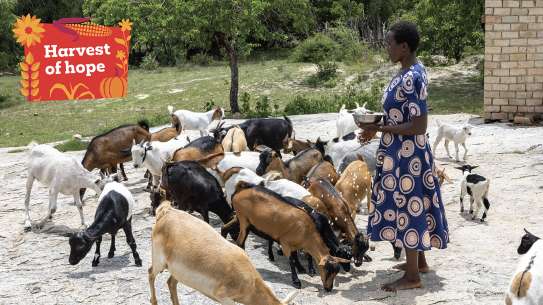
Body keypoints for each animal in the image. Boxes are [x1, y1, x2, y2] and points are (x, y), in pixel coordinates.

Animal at [148, 201, 298, 302]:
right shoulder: (223, 298)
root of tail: (166, 211)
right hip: (159, 262)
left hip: (177, 270)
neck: (249, 282)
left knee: (171, 282)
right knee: (150, 273)